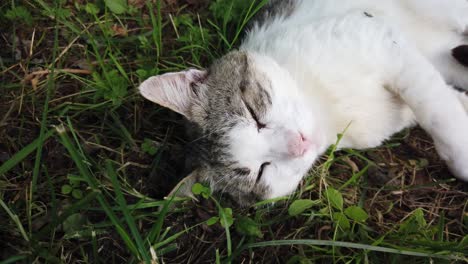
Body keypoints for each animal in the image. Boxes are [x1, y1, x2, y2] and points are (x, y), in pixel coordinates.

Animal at [139, 0, 468, 206]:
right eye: (261, 171)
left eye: (253, 113)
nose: (299, 143)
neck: (329, 111)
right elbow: (445, 100)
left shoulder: (376, 36)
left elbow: (435, 111)